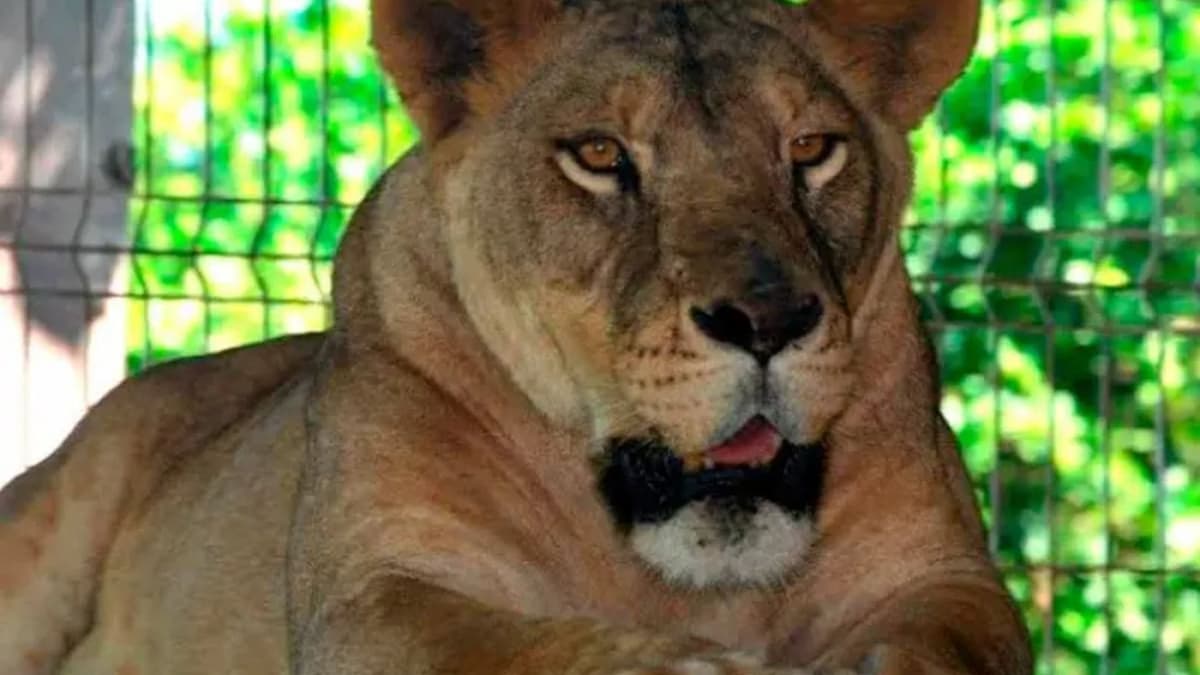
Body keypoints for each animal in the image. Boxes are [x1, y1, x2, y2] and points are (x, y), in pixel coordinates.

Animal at [0, 0, 1032, 673]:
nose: (769, 322)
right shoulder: (376, 590)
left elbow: (941, 645)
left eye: (812, 150)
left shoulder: (953, 580)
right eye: (600, 155)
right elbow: (514, 643)